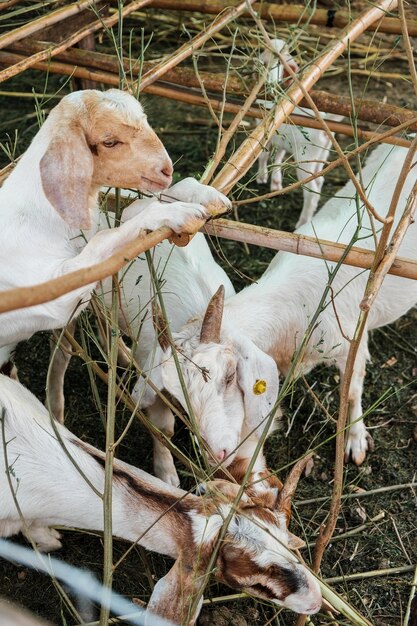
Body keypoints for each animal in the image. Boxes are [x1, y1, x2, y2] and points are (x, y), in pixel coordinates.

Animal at [0, 89, 221, 370]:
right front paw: (177, 213)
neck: (37, 215)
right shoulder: (53, 291)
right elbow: (104, 238)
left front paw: (200, 193)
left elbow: (126, 214)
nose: (166, 170)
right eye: (110, 142)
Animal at [132, 141, 416, 466]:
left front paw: (355, 441)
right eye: (177, 396)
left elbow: (352, 392)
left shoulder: (351, 345)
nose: (216, 455)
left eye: (229, 376)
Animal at [255, 37, 342, 227]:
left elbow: (263, 156)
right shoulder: (280, 140)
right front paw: (275, 185)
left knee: (312, 192)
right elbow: (277, 159)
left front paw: (261, 178)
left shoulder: (265, 134)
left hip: (305, 160)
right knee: (320, 180)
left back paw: (302, 223)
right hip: (321, 155)